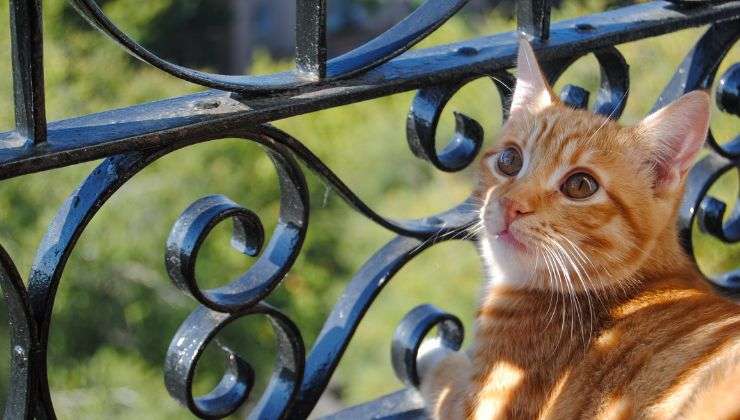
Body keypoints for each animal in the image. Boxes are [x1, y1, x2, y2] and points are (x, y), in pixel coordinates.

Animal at [420, 38, 740, 416]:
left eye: (580, 185)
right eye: (509, 160)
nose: (511, 205)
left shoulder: (481, 405)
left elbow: (444, 377)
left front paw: (430, 352)